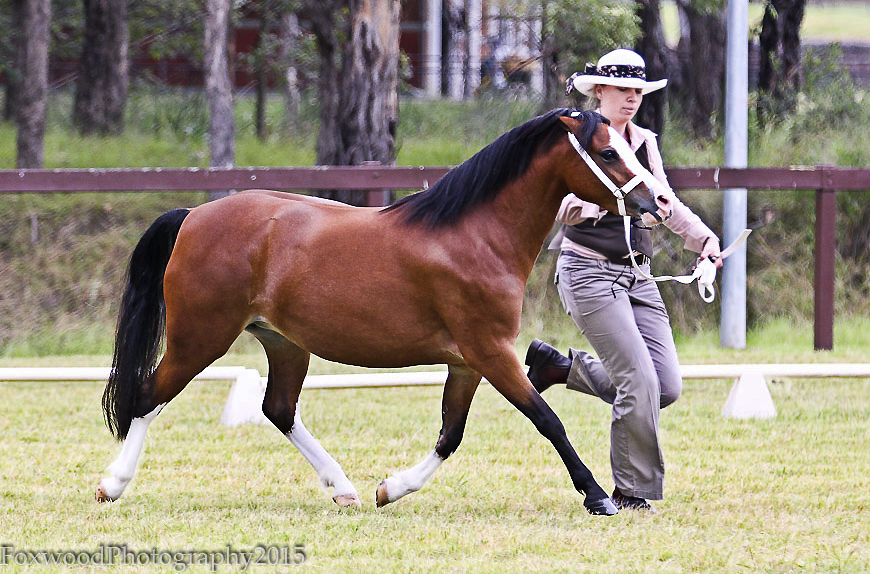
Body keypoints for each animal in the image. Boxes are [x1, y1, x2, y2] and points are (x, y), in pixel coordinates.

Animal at [95, 108, 672, 516]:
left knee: (278, 409)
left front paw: (390, 489)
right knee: (147, 396)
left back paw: (344, 489)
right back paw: (112, 485)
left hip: (284, 343)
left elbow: (451, 434)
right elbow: (547, 419)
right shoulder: (492, 352)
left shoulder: (466, 362)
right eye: (608, 151)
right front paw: (598, 497)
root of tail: (194, 215)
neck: (476, 234)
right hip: (200, 337)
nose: (661, 203)